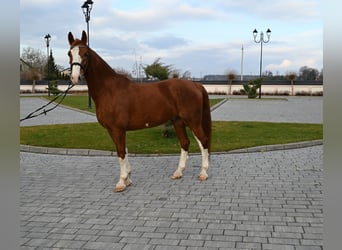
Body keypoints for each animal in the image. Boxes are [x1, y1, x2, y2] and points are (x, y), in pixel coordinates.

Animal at [67, 30, 211, 191]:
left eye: (85, 54)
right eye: (69, 53)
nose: (75, 77)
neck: (109, 90)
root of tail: (195, 84)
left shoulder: (116, 129)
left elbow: (120, 152)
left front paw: (121, 182)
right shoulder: (118, 130)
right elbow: (125, 151)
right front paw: (128, 179)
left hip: (193, 121)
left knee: (203, 141)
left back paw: (203, 173)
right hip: (178, 121)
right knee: (185, 143)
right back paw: (178, 173)